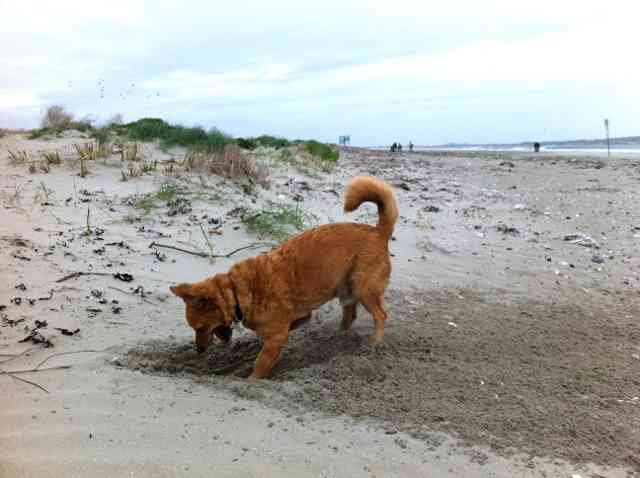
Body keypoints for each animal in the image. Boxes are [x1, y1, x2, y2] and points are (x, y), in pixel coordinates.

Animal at [172, 176, 398, 380]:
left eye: (200, 328)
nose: (199, 350)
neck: (238, 291)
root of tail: (379, 231)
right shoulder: (297, 318)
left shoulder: (277, 337)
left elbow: (260, 365)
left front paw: (251, 380)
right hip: (346, 288)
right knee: (350, 315)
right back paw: (338, 338)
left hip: (364, 289)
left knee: (380, 316)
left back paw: (374, 343)